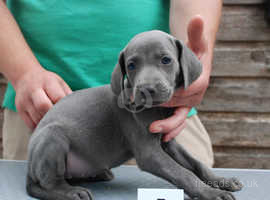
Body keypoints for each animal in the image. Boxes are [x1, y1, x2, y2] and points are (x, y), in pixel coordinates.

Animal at [26, 30, 243, 200]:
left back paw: (99, 174)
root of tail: (30, 164)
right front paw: (210, 193)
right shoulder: (149, 153)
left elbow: (196, 163)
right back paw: (71, 192)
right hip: (52, 136)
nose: (147, 89)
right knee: (45, 184)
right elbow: (182, 173)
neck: (157, 109)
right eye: (131, 65)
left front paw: (221, 181)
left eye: (166, 60)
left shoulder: (168, 141)